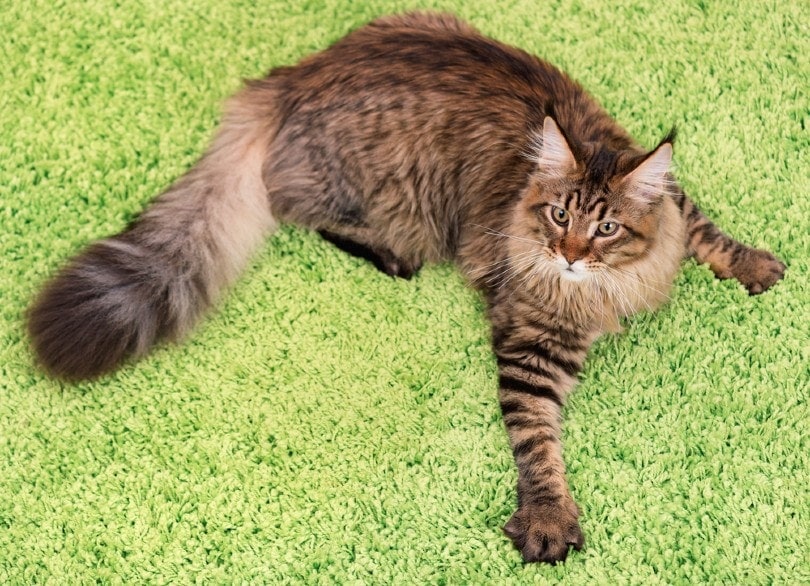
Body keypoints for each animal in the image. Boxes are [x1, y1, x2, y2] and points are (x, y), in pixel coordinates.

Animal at [26, 12, 784, 560]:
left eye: (604, 228)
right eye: (559, 217)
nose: (568, 256)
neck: (609, 287)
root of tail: (289, 79)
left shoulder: (674, 207)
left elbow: (708, 231)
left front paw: (752, 265)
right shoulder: (530, 344)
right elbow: (538, 441)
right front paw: (547, 517)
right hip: (394, 201)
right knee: (293, 206)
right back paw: (389, 259)